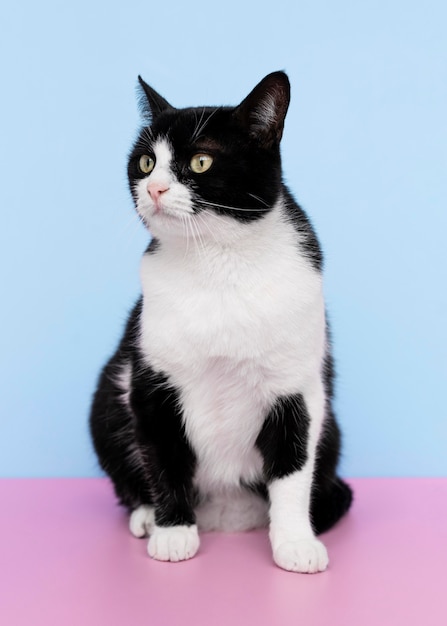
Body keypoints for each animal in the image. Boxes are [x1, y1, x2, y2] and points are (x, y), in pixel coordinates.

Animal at [88, 70, 354, 572]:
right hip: (107, 399)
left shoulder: (298, 388)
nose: (154, 189)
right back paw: (147, 515)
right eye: (147, 162)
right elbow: (163, 455)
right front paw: (174, 531)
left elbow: (292, 468)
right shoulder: (150, 380)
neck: (217, 261)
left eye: (201, 161)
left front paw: (295, 542)